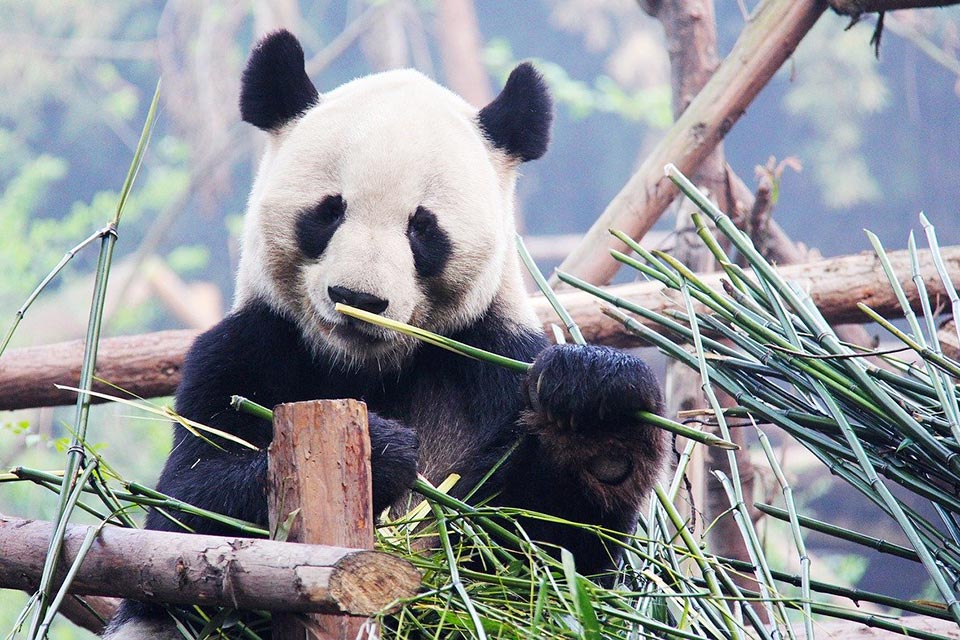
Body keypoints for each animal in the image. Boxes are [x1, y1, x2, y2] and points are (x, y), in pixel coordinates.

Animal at [103, 30, 660, 640]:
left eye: (423, 227)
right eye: (328, 211)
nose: (359, 299)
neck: (368, 367)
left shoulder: (492, 356)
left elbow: (543, 555)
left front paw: (595, 411)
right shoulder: (244, 349)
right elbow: (178, 516)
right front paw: (382, 449)